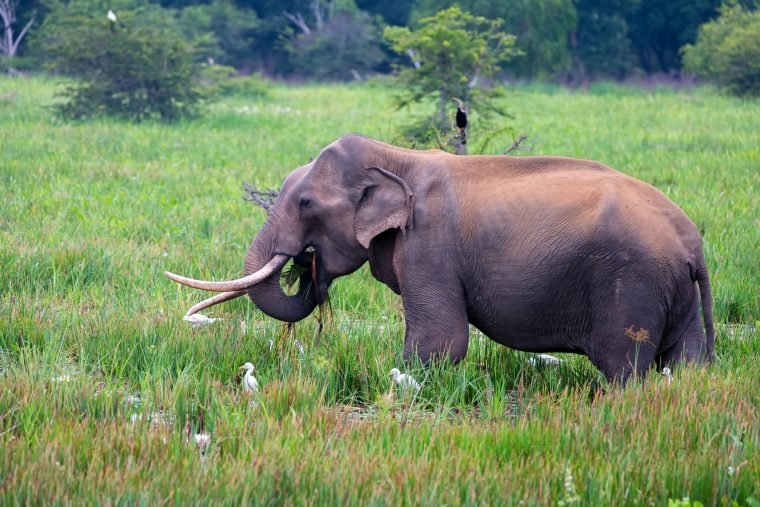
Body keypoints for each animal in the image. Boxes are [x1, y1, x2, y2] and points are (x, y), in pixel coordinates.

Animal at [166, 134, 714, 382]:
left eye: (304, 203)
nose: (306, 265)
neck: (396, 156)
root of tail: (692, 243)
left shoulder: (429, 248)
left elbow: (441, 342)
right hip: (675, 294)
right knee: (685, 364)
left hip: (632, 284)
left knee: (625, 367)